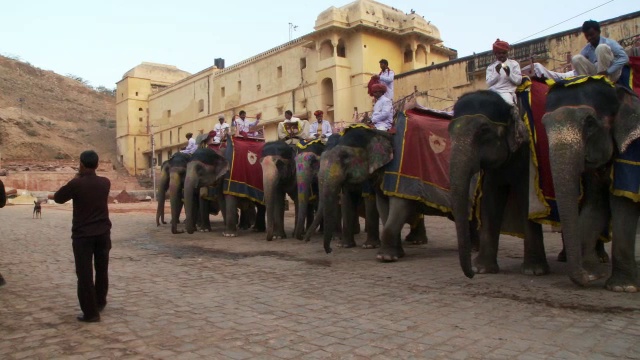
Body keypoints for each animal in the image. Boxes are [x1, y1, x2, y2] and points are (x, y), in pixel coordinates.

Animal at [448, 89, 548, 276]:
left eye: (484, 130)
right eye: (449, 132)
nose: (471, 274)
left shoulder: (526, 155)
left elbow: (527, 198)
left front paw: (533, 271)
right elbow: (490, 199)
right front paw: (482, 269)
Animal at [544, 77, 636, 292]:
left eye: (590, 124)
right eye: (543, 124)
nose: (589, 278)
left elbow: (622, 204)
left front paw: (622, 287)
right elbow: (595, 206)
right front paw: (592, 273)